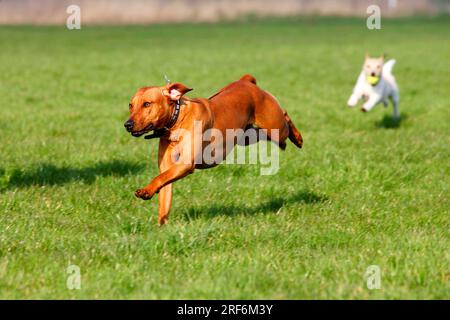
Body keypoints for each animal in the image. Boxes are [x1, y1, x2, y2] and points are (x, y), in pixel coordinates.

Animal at [125, 74, 304, 225]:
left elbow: (159, 178)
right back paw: (286, 143)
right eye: (130, 105)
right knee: (266, 135)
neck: (176, 121)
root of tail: (246, 81)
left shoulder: (185, 164)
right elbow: (164, 192)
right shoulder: (167, 167)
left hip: (275, 126)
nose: (127, 124)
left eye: (147, 104)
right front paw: (161, 226)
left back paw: (297, 137)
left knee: (285, 117)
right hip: (246, 137)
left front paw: (145, 191)